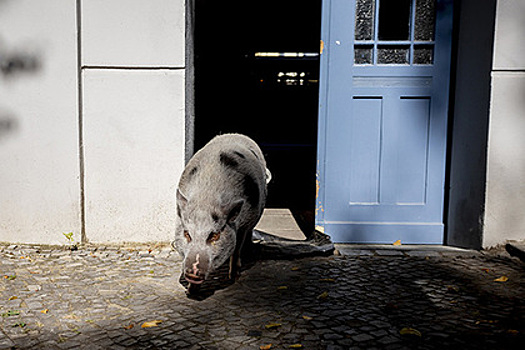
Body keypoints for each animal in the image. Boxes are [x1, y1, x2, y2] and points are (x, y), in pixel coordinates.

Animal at [173, 134, 270, 288]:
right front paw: (191, 290)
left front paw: (233, 278)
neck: (206, 199)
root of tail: (236, 134)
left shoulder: (243, 225)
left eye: (214, 235)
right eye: (187, 234)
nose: (193, 271)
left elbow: (236, 249)